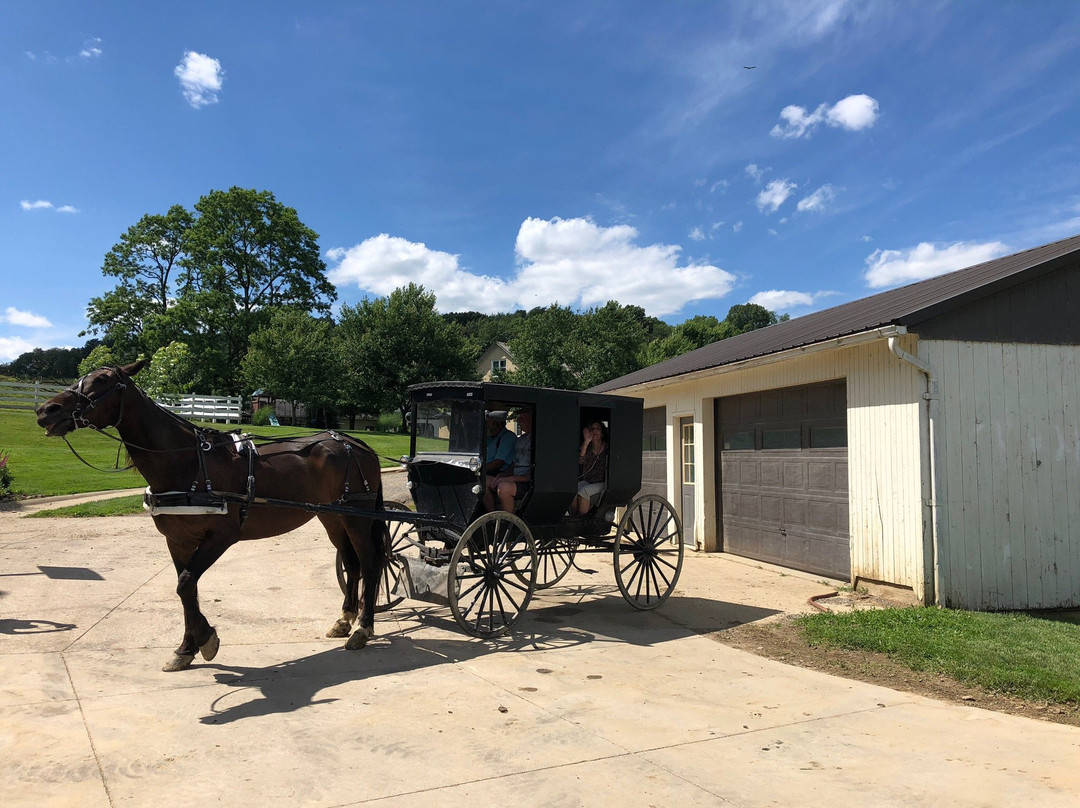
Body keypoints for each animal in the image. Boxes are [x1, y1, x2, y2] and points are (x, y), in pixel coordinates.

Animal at [35, 362, 386, 674]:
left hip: (357, 517)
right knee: (352, 563)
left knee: (370, 563)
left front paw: (206, 639)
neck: (187, 461)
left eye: (102, 380)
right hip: (333, 516)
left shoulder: (221, 537)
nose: (46, 410)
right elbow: (186, 589)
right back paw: (344, 620)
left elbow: (185, 584)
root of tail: (356, 443)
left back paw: (363, 629)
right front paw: (186, 649)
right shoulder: (177, 540)